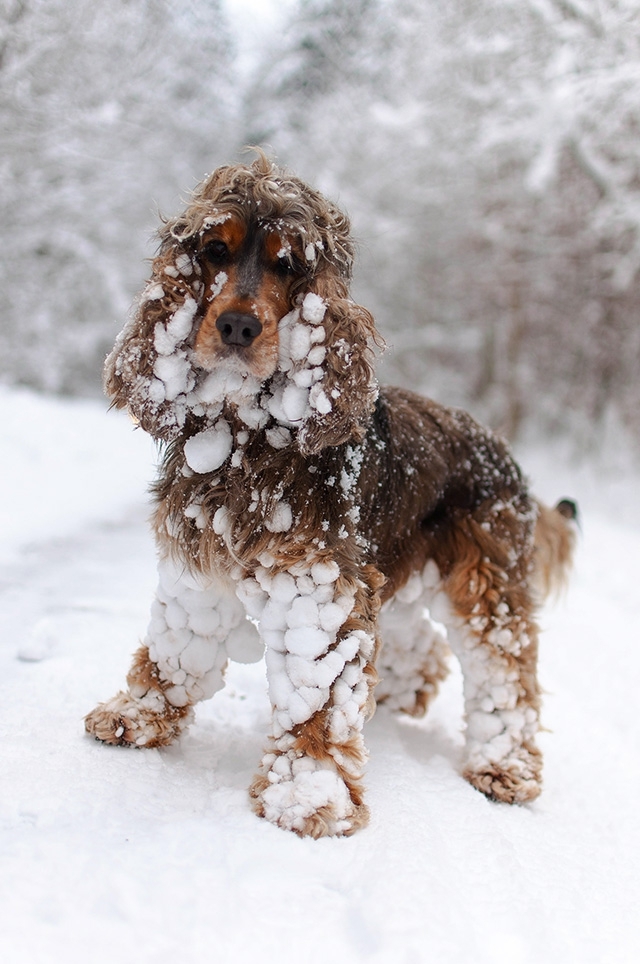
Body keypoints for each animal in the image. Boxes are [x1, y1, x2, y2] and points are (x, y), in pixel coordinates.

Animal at [85, 151, 576, 836]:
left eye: (289, 264)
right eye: (214, 249)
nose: (237, 325)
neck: (247, 435)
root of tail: (506, 455)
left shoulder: (318, 587)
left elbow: (316, 697)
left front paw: (306, 797)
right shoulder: (197, 563)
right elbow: (176, 647)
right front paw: (138, 714)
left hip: (486, 581)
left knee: (506, 673)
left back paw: (505, 768)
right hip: (394, 562)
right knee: (421, 642)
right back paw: (399, 694)